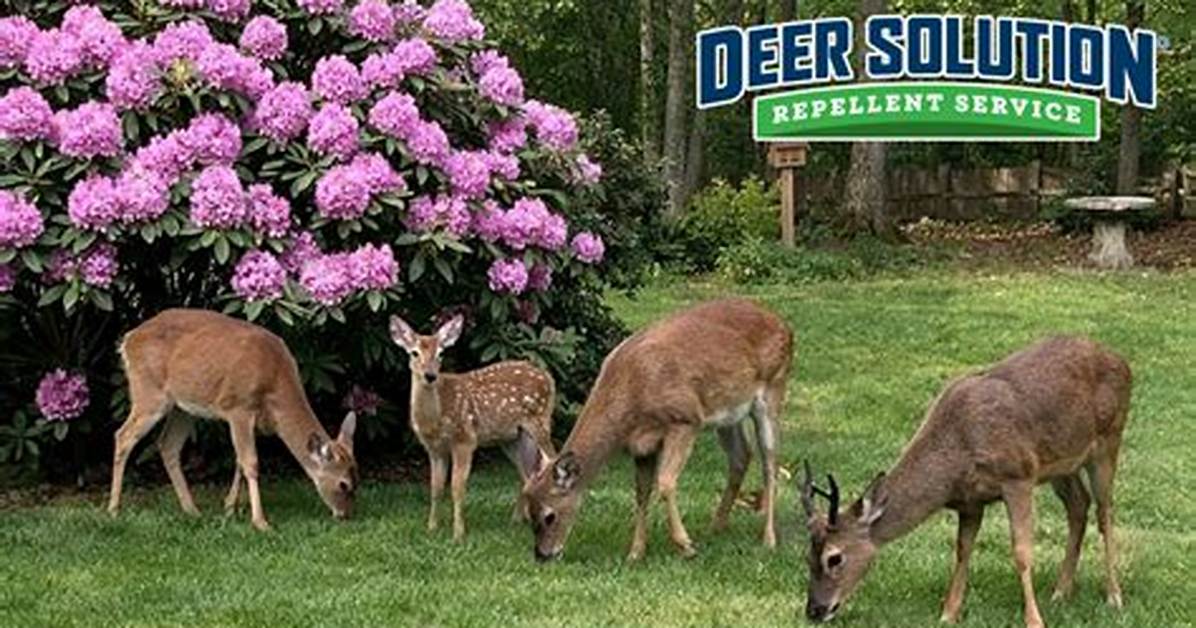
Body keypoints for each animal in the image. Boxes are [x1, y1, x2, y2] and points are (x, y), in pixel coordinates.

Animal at [108, 309, 359, 531]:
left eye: (357, 479)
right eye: (343, 484)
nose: (346, 515)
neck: (274, 381)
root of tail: (128, 340)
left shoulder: (251, 419)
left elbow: (239, 460)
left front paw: (229, 508)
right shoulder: (238, 407)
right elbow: (251, 462)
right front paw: (260, 522)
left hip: (183, 407)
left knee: (167, 444)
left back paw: (192, 510)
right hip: (149, 392)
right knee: (123, 435)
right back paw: (113, 509)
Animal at [389, 314, 556, 542]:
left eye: (441, 353)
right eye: (414, 352)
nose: (430, 375)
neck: (435, 419)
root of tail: (549, 377)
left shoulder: (465, 439)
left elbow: (457, 487)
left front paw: (458, 534)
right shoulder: (433, 448)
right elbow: (435, 487)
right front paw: (432, 528)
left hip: (539, 420)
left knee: (551, 459)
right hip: (511, 437)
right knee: (528, 472)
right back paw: (518, 520)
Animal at [514, 298, 794, 562]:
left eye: (550, 515)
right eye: (528, 513)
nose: (542, 555)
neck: (633, 393)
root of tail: (784, 325)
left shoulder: (685, 419)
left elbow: (666, 482)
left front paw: (686, 546)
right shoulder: (641, 445)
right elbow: (641, 492)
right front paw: (635, 553)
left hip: (773, 389)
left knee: (770, 464)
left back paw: (768, 539)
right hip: (727, 414)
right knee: (741, 456)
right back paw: (716, 527)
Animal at [800, 336, 1132, 628]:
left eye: (835, 558)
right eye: (807, 556)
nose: (815, 610)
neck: (958, 452)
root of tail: (1122, 360)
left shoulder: (1019, 475)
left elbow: (1022, 552)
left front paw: (1034, 620)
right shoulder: (970, 501)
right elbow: (962, 550)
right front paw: (948, 613)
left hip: (1109, 438)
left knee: (1105, 511)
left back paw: (1114, 596)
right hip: (1061, 465)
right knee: (1079, 505)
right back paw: (1061, 592)